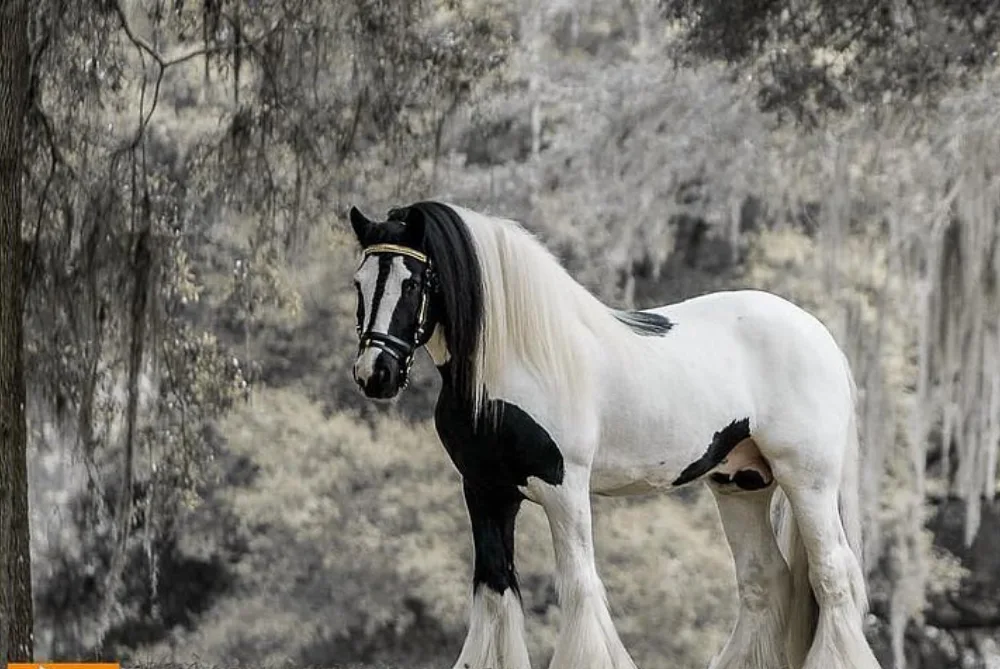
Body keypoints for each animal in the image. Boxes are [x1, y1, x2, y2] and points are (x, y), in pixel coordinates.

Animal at [348, 201, 880, 668]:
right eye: (359, 282)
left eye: (414, 281)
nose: (375, 374)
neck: (517, 362)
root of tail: (820, 335)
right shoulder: (485, 490)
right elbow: (494, 591)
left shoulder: (564, 487)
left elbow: (579, 584)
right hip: (741, 484)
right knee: (765, 580)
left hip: (807, 480)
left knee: (833, 574)